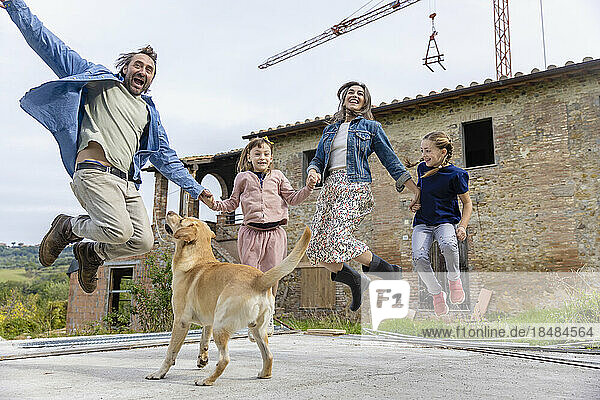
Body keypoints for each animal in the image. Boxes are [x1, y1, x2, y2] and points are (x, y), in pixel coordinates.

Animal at [145, 211, 310, 386]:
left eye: (182, 219)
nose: (169, 212)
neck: (197, 259)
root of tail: (259, 279)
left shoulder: (181, 321)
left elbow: (171, 352)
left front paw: (159, 373)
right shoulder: (208, 321)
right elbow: (203, 340)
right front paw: (202, 359)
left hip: (221, 326)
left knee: (225, 359)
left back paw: (207, 380)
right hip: (257, 330)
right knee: (269, 356)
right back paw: (264, 374)